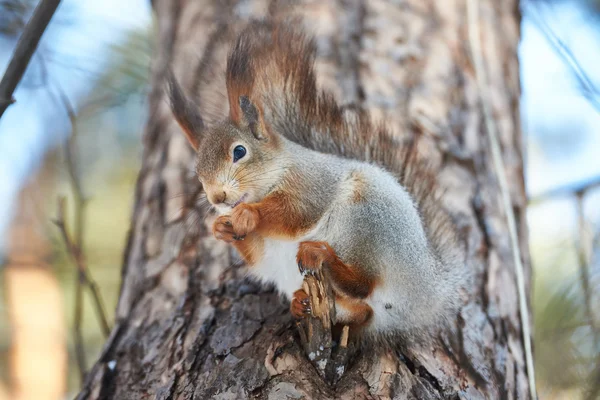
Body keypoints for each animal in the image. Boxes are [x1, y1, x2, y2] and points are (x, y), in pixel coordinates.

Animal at [165, 20, 468, 340]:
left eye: (239, 151)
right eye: (197, 173)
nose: (217, 198)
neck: (279, 169)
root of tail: (428, 289)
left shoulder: (312, 183)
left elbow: (295, 213)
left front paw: (249, 214)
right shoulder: (262, 250)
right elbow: (253, 250)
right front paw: (220, 227)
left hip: (367, 222)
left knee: (364, 285)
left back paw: (325, 258)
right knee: (362, 312)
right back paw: (303, 304)